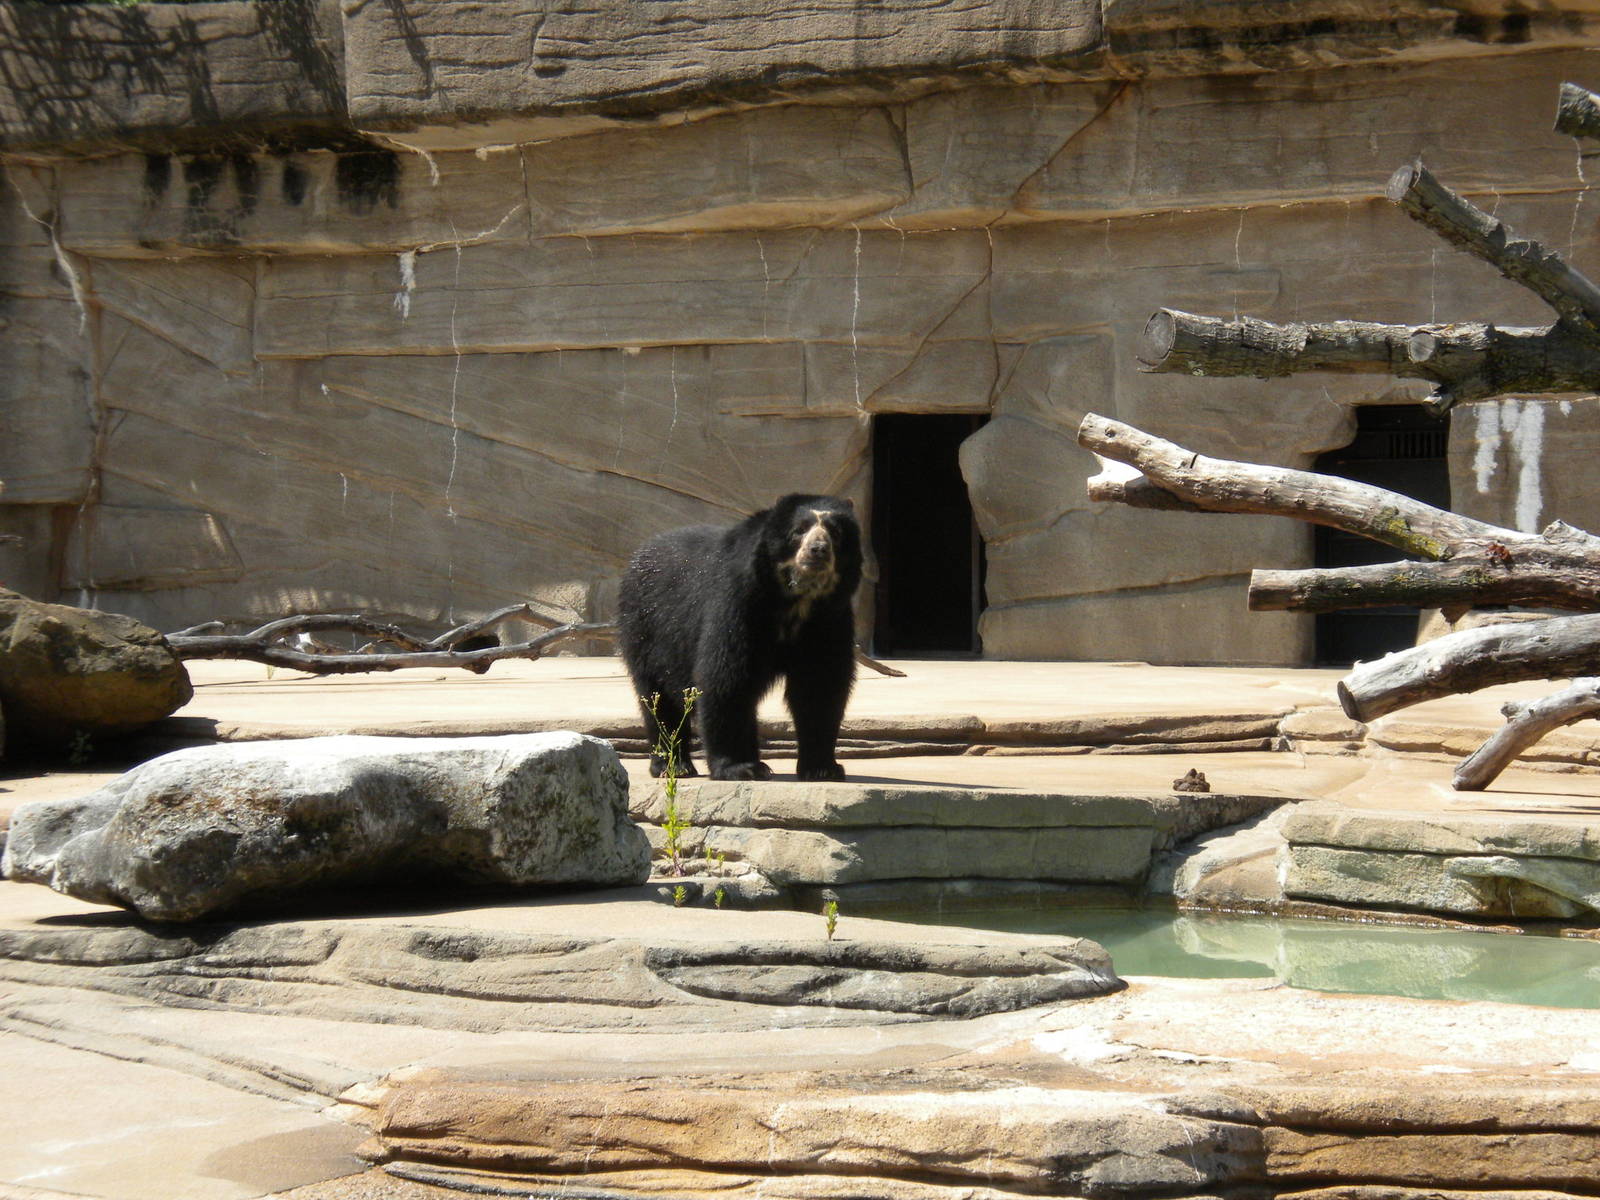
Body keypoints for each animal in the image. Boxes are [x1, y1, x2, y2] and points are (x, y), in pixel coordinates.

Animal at [618, 494, 862, 782]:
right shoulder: (739, 600)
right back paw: (674, 765)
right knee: (657, 697)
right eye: (799, 530)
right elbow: (728, 678)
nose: (818, 550)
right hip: (646, 629)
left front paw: (823, 768)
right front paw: (742, 767)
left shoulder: (829, 618)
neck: (797, 600)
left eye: (835, 533)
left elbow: (820, 684)